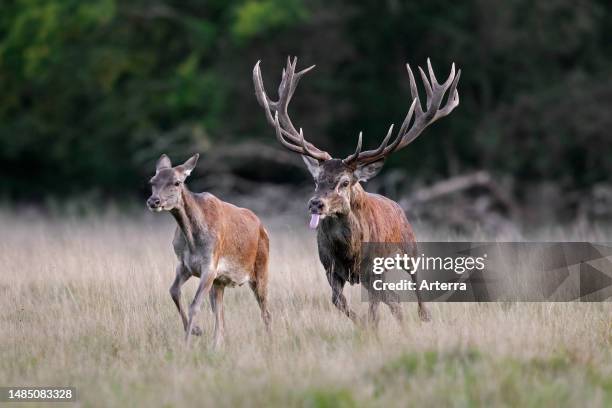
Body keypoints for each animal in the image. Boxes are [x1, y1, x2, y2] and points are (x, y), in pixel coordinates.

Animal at [146, 155, 270, 346]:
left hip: (261, 269)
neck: (192, 240)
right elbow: (173, 291)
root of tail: (262, 227)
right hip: (220, 283)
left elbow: (195, 305)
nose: (154, 201)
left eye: (177, 182)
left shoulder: (210, 265)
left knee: (266, 312)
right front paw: (196, 330)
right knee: (221, 318)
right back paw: (216, 346)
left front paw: (187, 342)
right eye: (152, 181)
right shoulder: (185, 265)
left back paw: (271, 341)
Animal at [252, 57, 460, 326]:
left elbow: (380, 305)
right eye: (316, 179)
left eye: (344, 182)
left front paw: (373, 325)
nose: (316, 203)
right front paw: (362, 325)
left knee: (415, 288)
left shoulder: (374, 268)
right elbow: (340, 301)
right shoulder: (330, 268)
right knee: (390, 300)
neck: (349, 252)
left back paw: (424, 316)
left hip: (409, 244)